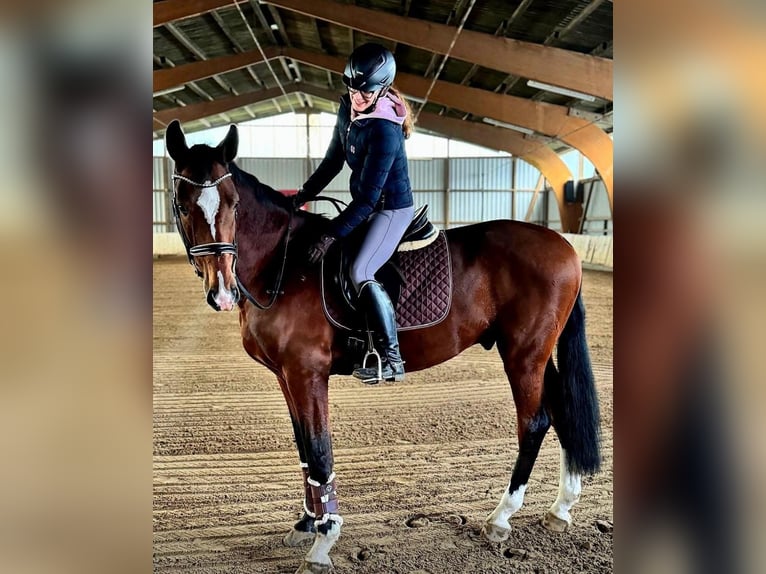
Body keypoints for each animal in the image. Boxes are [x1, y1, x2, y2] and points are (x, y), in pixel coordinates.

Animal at [164, 119, 601, 574]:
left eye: (233, 204)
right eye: (182, 205)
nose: (222, 291)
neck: (283, 264)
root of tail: (564, 246)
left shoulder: (307, 372)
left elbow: (320, 451)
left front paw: (323, 541)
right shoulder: (286, 376)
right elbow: (304, 449)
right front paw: (305, 523)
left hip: (523, 356)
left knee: (534, 424)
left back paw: (501, 518)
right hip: (538, 354)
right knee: (563, 412)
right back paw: (560, 509)